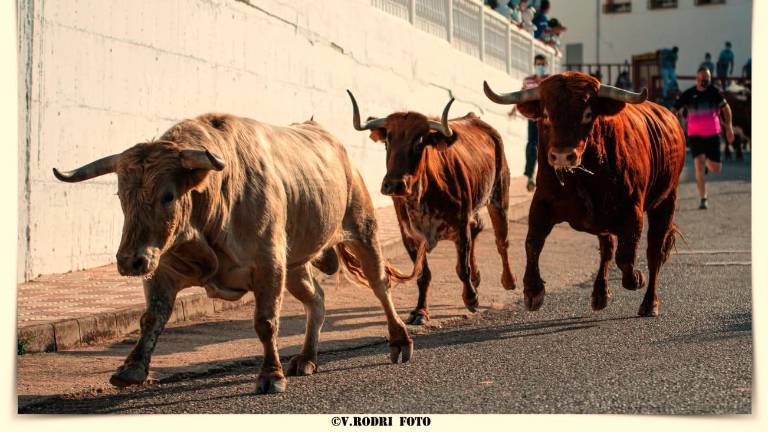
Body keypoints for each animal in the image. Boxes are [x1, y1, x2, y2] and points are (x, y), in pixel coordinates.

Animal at [52, 112, 426, 394]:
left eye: (168, 196)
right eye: (121, 196)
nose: (130, 261)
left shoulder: (268, 265)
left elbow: (266, 322)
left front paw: (271, 375)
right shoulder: (163, 269)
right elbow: (151, 318)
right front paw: (131, 369)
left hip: (362, 229)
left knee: (380, 286)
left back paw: (399, 342)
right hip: (295, 264)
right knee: (316, 299)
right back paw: (307, 357)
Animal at [346, 92, 516, 328]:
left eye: (419, 143)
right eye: (388, 141)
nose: (394, 185)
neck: (422, 193)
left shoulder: (460, 226)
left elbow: (462, 267)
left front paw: (471, 298)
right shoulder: (409, 235)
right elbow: (423, 275)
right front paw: (420, 311)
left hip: (500, 195)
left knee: (502, 241)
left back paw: (509, 281)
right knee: (478, 228)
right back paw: (477, 277)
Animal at [486, 71, 684, 318]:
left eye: (588, 114)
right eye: (546, 114)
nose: (562, 156)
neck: (582, 176)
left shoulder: (632, 211)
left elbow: (626, 256)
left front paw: (636, 279)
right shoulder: (542, 203)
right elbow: (532, 242)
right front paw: (533, 291)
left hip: (666, 200)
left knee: (654, 251)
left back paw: (649, 302)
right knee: (607, 249)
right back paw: (600, 294)